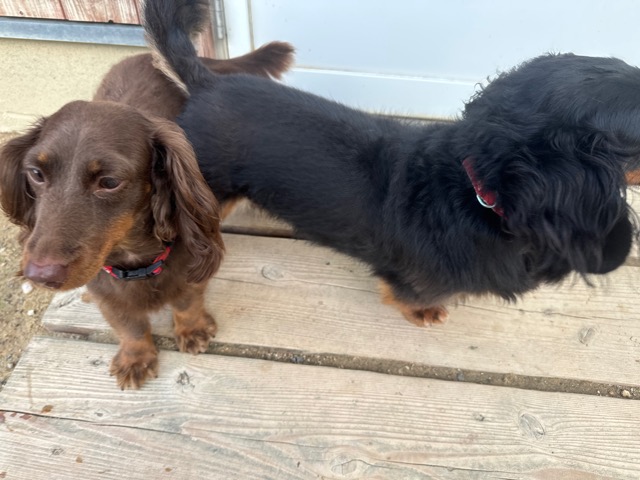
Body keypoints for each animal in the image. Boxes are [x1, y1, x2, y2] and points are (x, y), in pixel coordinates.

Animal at [0, 44, 294, 389]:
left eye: (109, 181)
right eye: (36, 173)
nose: (39, 275)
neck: (135, 263)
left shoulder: (188, 270)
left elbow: (187, 302)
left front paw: (192, 330)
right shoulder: (108, 294)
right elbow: (130, 325)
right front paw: (135, 358)